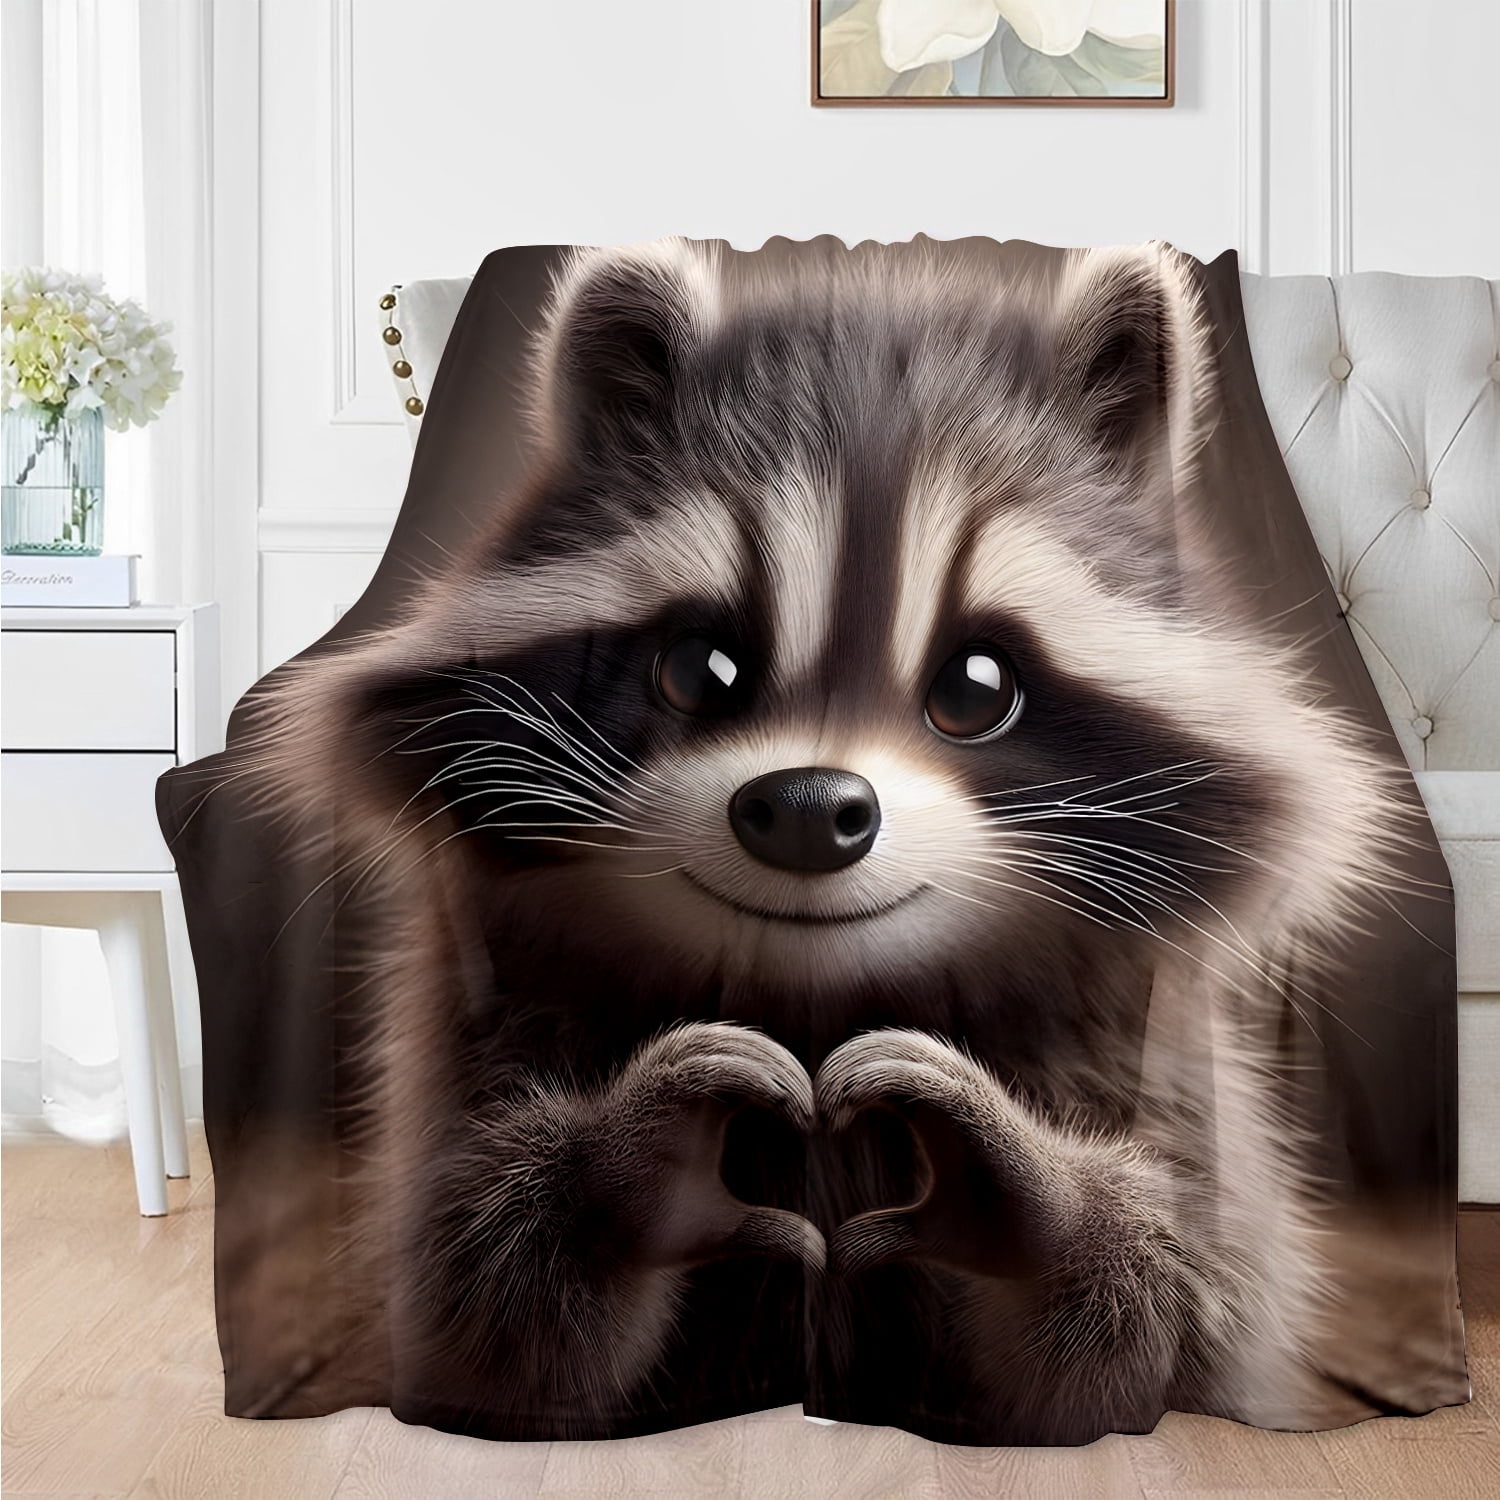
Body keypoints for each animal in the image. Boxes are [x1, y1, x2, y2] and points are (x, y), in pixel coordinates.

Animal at [245, 237, 1416, 1443]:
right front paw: (616, 1177)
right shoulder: (480, 1017)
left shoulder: (1168, 1050)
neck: (820, 991)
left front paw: (1034, 1199)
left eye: (975, 688)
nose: (810, 807)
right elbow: (482, 1307)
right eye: (700, 669)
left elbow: (1183, 1310)